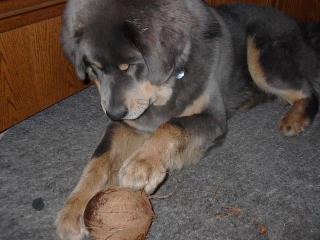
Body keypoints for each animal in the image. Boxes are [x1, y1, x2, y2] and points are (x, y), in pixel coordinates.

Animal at [55, 0, 320, 239]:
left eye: (128, 66)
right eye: (94, 69)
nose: (113, 113)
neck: (167, 86)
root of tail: (299, 25)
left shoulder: (213, 118)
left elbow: (171, 125)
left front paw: (143, 163)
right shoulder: (130, 123)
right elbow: (100, 158)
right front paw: (74, 207)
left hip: (260, 57)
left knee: (308, 89)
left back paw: (295, 119)